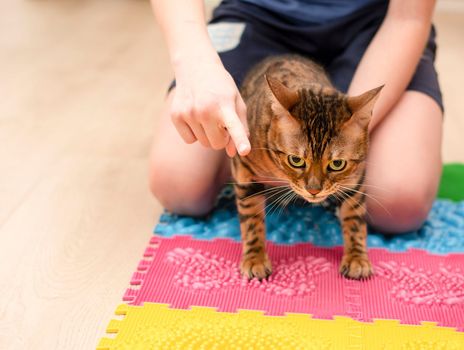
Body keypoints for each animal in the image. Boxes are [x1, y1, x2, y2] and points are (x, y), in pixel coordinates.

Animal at [230, 54, 382, 282]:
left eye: (337, 164)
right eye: (296, 160)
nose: (314, 190)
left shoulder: (356, 177)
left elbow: (355, 218)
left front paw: (356, 257)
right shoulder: (243, 166)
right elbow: (251, 218)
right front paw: (255, 258)